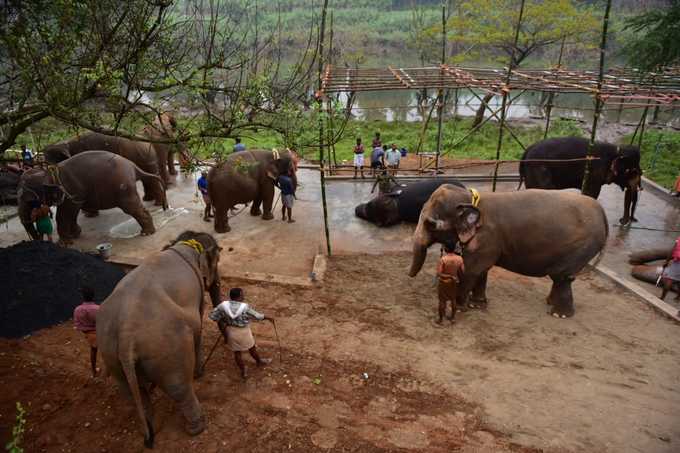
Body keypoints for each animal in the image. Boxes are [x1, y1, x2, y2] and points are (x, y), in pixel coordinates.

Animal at [17, 150, 167, 242]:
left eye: (29, 200)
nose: (38, 239)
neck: (48, 172)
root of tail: (133, 166)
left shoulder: (71, 190)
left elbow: (65, 213)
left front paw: (64, 243)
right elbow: (72, 212)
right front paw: (76, 234)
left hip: (124, 188)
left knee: (132, 208)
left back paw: (147, 233)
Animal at [95, 231, 222, 446]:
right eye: (217, 262)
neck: (185, 244)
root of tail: (126, 332)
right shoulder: (196, 294)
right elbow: (198, 324)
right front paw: (199, 374)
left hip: (111, 353)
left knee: (131, 392)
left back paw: (150, 427)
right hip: (166, 348)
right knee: (179, 386)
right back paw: (197, 428)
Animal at [406, 184, 608, 318]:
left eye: (431, 224)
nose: (408, 276)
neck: (472, 199)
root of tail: (603, 214)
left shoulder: (487, 238)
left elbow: (471, 269)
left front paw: (460, 308)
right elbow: (482, 271)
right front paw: (476, 306)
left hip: (581, 247)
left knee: (562, 276)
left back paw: (559, 314)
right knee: (562, 279)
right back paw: (551, 304)